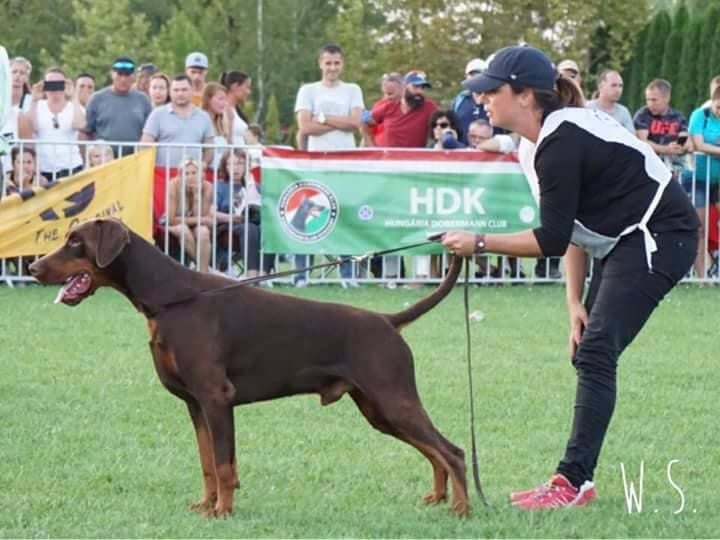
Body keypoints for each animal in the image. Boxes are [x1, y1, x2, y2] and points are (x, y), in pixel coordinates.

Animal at [28, 220, 470, 520]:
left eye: (75, 242)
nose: (32, 267)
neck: (170, 299)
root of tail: (387, 321)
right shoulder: (195, 404)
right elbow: (208, 462)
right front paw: (206, 505)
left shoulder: (216, 397)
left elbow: (224, 464)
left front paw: (223, 510)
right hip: (378, 409)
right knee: (435, 452)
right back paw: (438, 497)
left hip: (393, 398)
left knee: (453, 451)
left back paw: (462, 509)